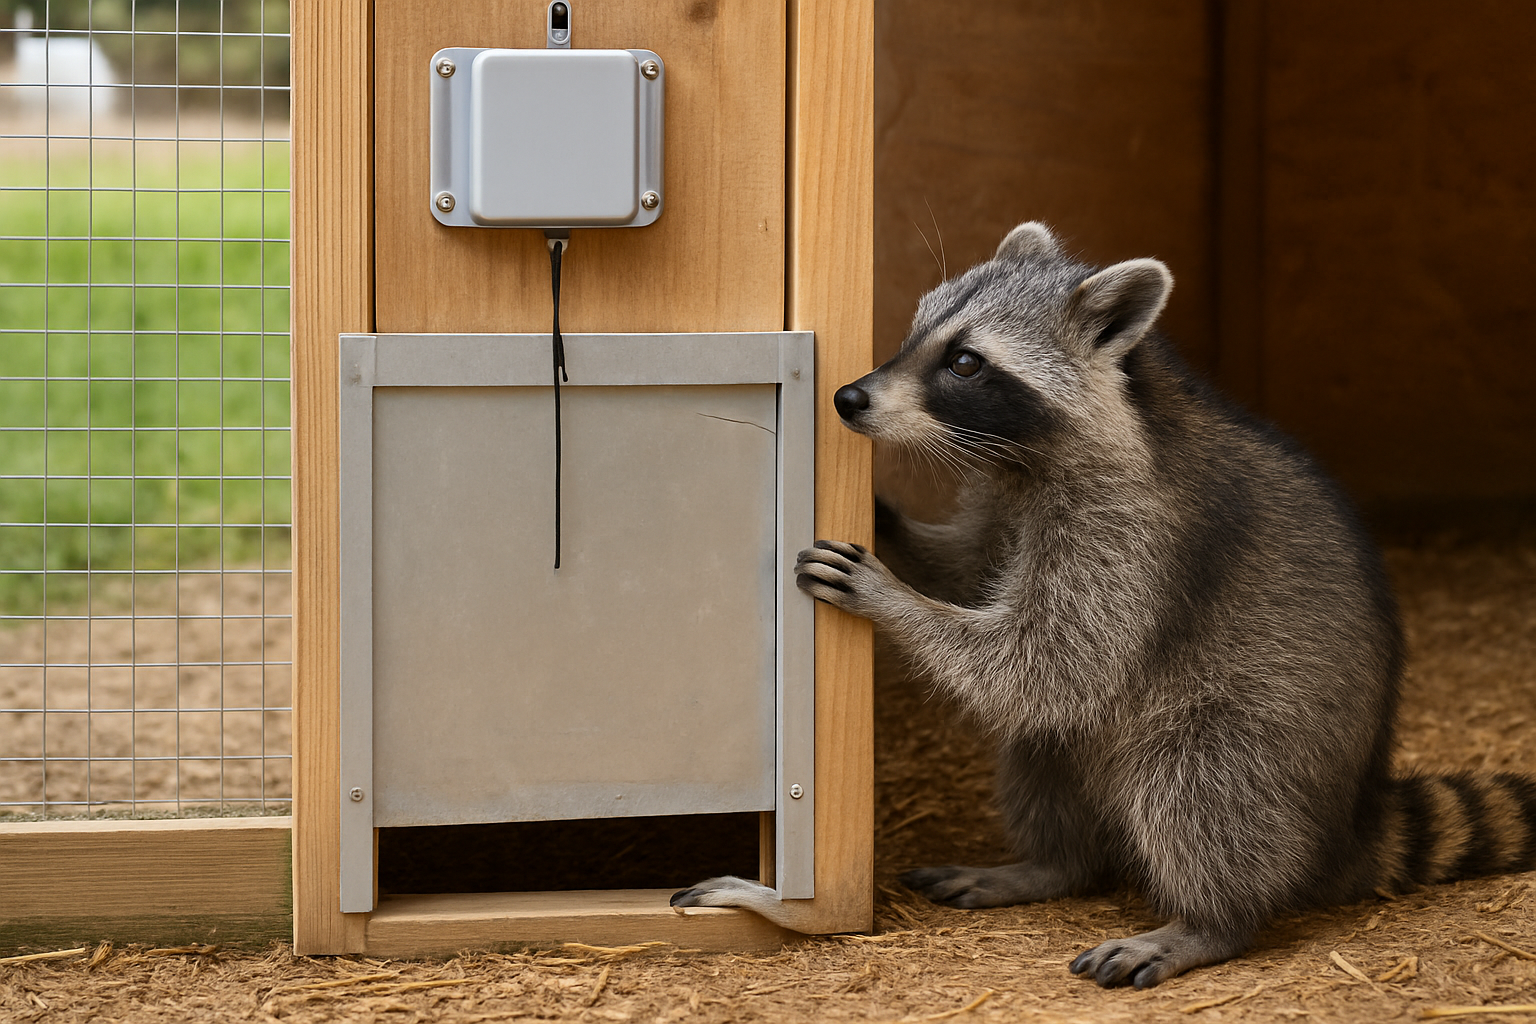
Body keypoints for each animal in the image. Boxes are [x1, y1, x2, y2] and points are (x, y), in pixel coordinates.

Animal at [671, 221, 1536, 987]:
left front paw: (896, 599)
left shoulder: (1132, 531)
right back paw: (1055, 864)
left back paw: (1211, 920)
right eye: (917, 331)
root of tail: (1348, 819)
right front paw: (895, 530)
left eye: (965, 361)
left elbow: (1053, 657)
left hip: (1258, 735)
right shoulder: (1009, 495)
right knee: (1043, 749)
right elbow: (977, 576)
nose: (851, 398)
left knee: (1197, 777)